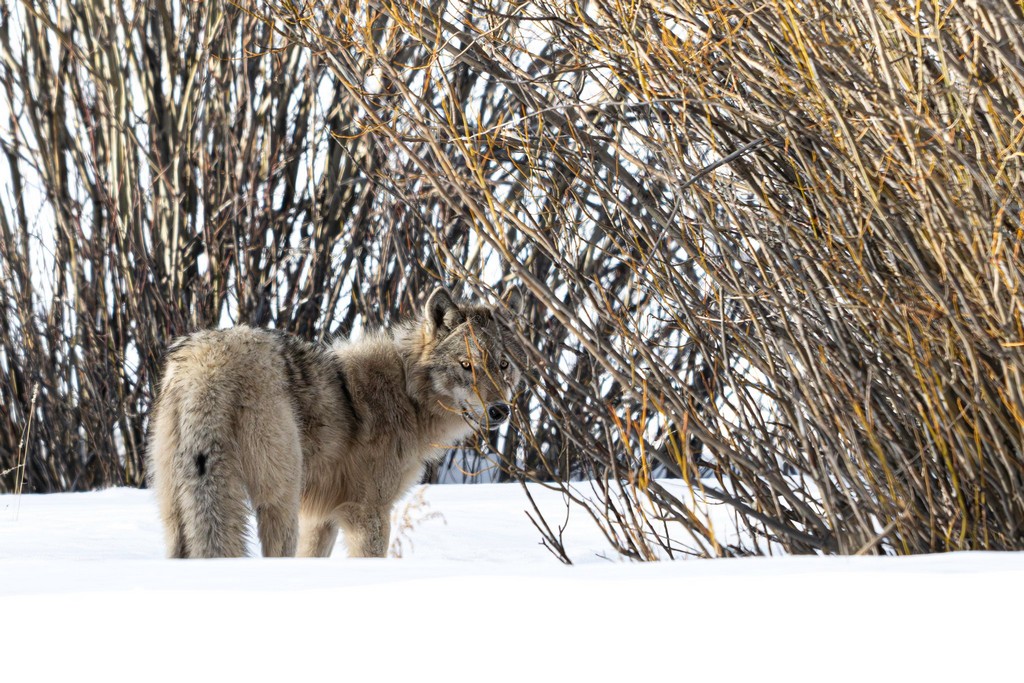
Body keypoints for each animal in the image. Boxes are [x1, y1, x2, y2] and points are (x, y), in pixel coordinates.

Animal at [146, 286, 528, 557]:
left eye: (503, 365)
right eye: (467, 365)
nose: (499, 410)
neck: (407, 394)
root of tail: (207, 363)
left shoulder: (321, 519)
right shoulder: (368, 514)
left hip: (178, 512)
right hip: (280, 502)